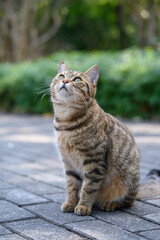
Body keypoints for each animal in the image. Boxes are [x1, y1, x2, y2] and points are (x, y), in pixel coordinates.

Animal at [51, 62, 160, 216]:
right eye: (61, 76)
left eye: (77, 79)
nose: (65, 81)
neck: (65, 122)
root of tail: (138, 188)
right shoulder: (69, 163)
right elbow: (72, 186)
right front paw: (71, 203)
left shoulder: (94, 162)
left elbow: (88, 188)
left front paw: (83, 206)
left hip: (126, 182)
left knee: (127, 202)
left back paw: (110, 204)